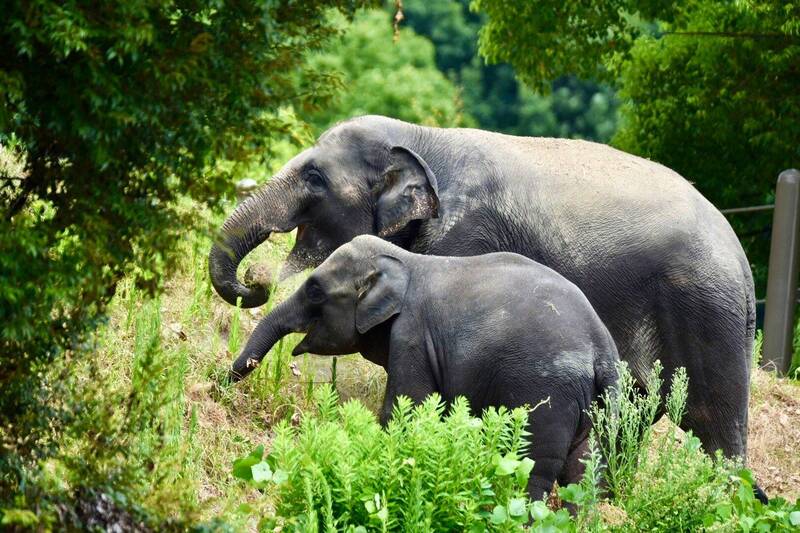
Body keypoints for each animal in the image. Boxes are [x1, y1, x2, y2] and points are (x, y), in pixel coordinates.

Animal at [208, 113, 756, 466]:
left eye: (315, 177)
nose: (255, 281)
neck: (422, 138)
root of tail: (746, 268)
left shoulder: (465, 233)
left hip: (707, 312)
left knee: (716, 426)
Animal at [231, 235, 620, 496]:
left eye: (314, 290)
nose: (225, 380)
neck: (407, 261)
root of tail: (602, 350)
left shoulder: (413, 337)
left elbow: (405, 408)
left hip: (547, 393)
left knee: (534, 469)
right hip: (599, 409)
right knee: (585, 472)